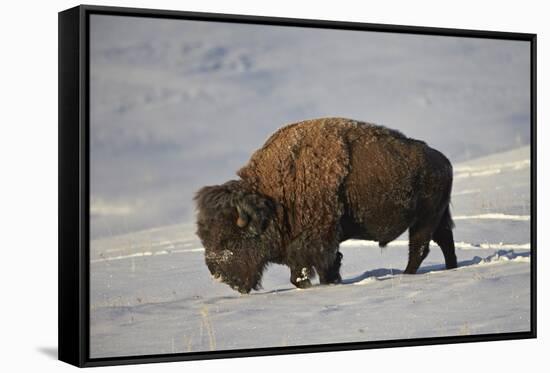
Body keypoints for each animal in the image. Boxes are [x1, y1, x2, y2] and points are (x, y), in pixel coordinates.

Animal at [196, 117, 460, 292]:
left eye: (230, 239)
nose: (218, 274)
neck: (273, 199)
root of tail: (443, 161)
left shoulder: (317, 241)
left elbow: (313, 269)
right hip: (437, 217)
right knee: (445, 241)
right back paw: (451, 269)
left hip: (424, 220)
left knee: (419, 249)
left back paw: (408, 276)